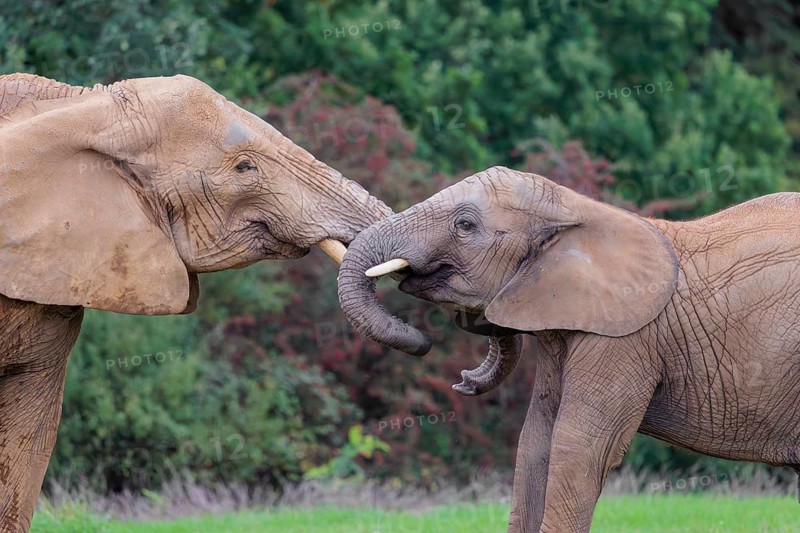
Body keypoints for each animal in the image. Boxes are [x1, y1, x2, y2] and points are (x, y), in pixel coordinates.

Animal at [338, 165, 800, 532]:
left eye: (465, 225)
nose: (463, 381)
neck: (577, 210)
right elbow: (536, 440)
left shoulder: (624, 337)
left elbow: (578, 447)